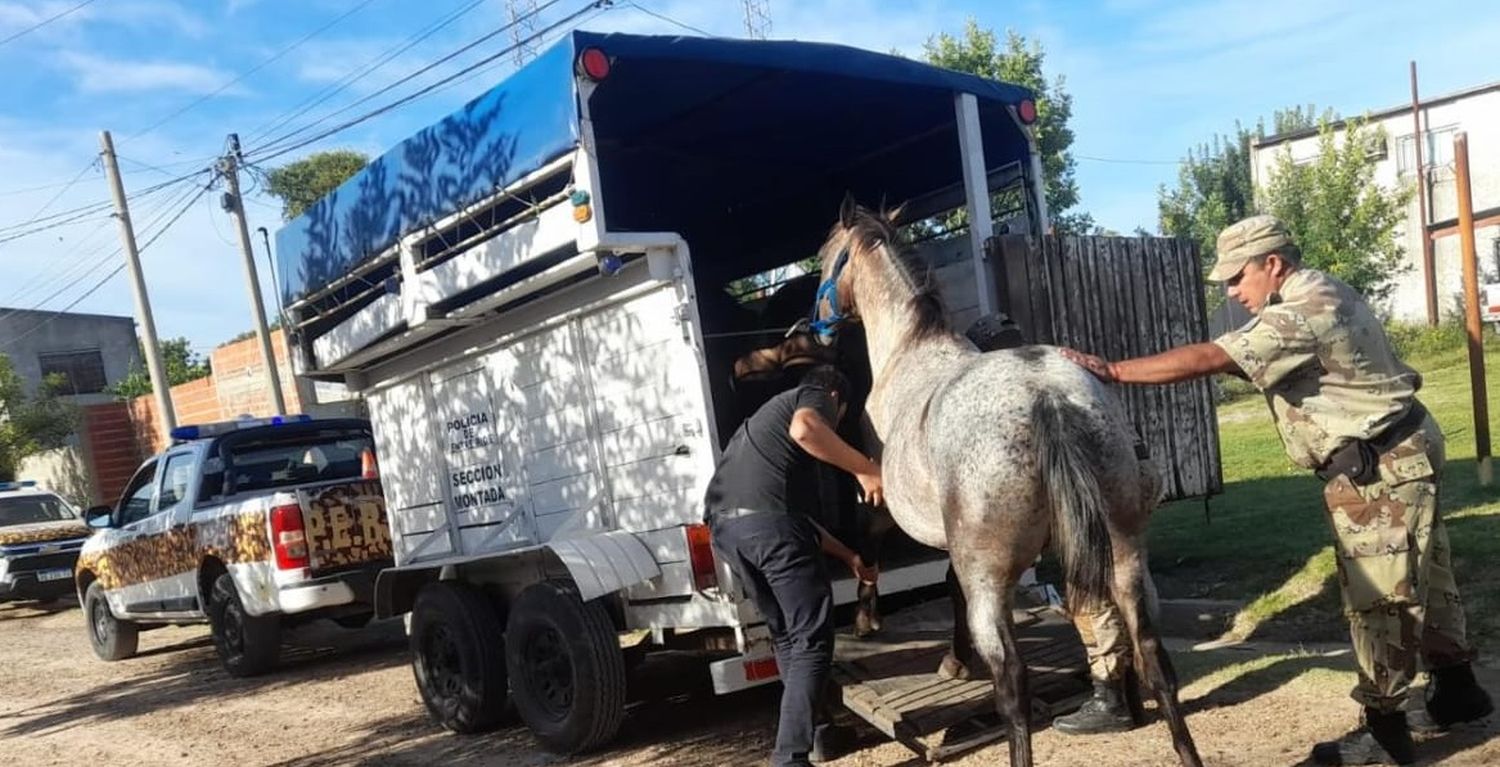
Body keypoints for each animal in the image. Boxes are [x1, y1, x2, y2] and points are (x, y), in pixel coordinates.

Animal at [810, 201, 1206, 767]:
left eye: (825, 256)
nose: (815, 327)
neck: (910, 348)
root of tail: (1047, 399)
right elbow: (946, 584)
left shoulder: (886, 504)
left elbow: (878, 550)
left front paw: (875, 624)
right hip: (1125, 556)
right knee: (1153, 655)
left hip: (992, 580)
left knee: (1013, 687)